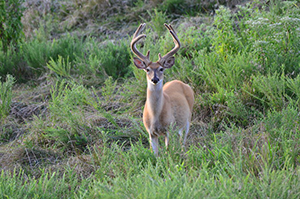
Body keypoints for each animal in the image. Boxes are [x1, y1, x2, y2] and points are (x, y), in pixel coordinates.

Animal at [131, 23, 195, 156]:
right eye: (147, 69)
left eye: (161, 69)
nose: (154, 79)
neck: (155, 116)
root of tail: (181, 82)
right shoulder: (151, 133)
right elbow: (155, 154)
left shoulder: (168, 129)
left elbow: (167, 150)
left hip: (188, 118)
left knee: (183, 140)